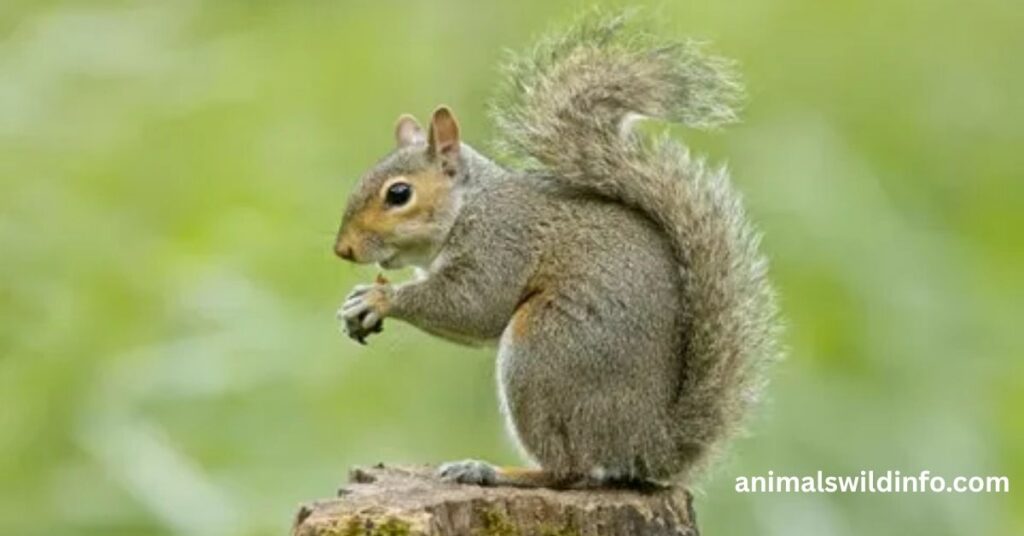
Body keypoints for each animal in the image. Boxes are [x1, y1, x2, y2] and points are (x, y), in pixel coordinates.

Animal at [334, 11, 780, 489]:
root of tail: (645, 445)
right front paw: (357, 303)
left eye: (399, 194)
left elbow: (474, 307)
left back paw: (492, 470)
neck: (470, 206)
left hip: (543, 353)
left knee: (568, 470)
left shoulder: (502, 242)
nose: (342, 249)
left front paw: (380, 298)